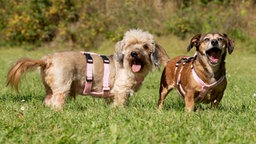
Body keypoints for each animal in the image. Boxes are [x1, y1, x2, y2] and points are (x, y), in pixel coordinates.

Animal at [6, 29, 170, 110]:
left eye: (145, 46)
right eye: (129, 45)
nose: (134, 53)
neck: (128, 66)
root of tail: (48, 59)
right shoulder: (121, 90)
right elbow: (120, 102)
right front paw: (121, 110)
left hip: (49, 88)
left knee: (47, 101)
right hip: (62, 87)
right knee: (56, 102)